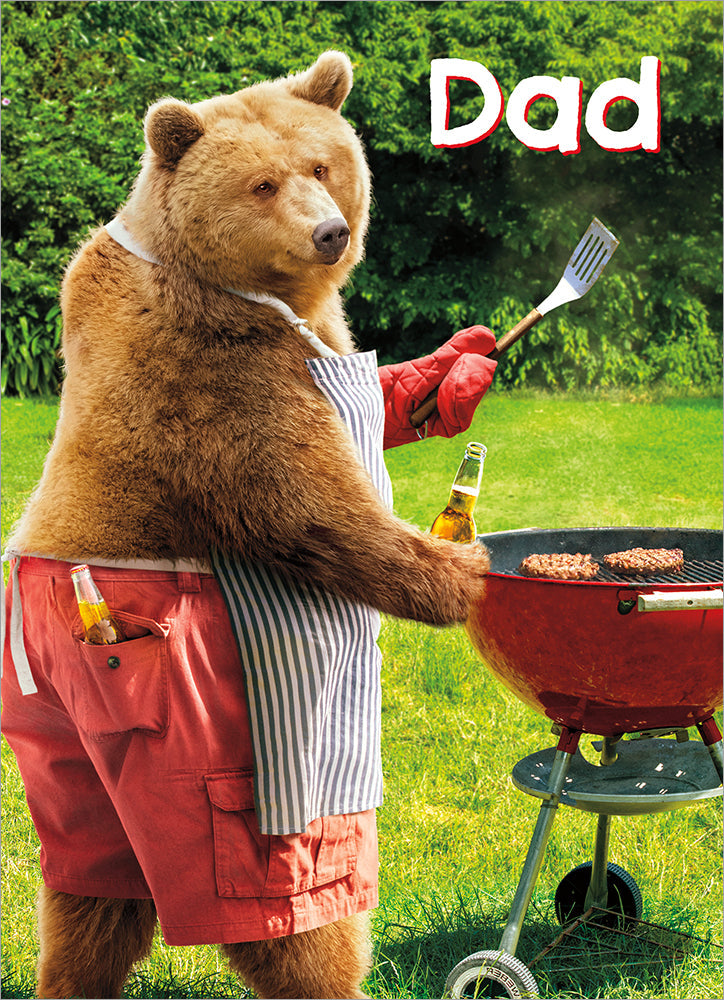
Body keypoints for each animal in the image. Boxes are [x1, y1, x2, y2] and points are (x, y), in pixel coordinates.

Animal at [2, 51, 497, 999]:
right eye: (262, 184)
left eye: (322, 166)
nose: (331, 233)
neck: (260, 292)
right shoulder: (212, 363)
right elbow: (303, 495)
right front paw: (455, 573)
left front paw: (455, 370)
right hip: (217, 704)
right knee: (292, 899)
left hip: (59, 734)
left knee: (93, 887)